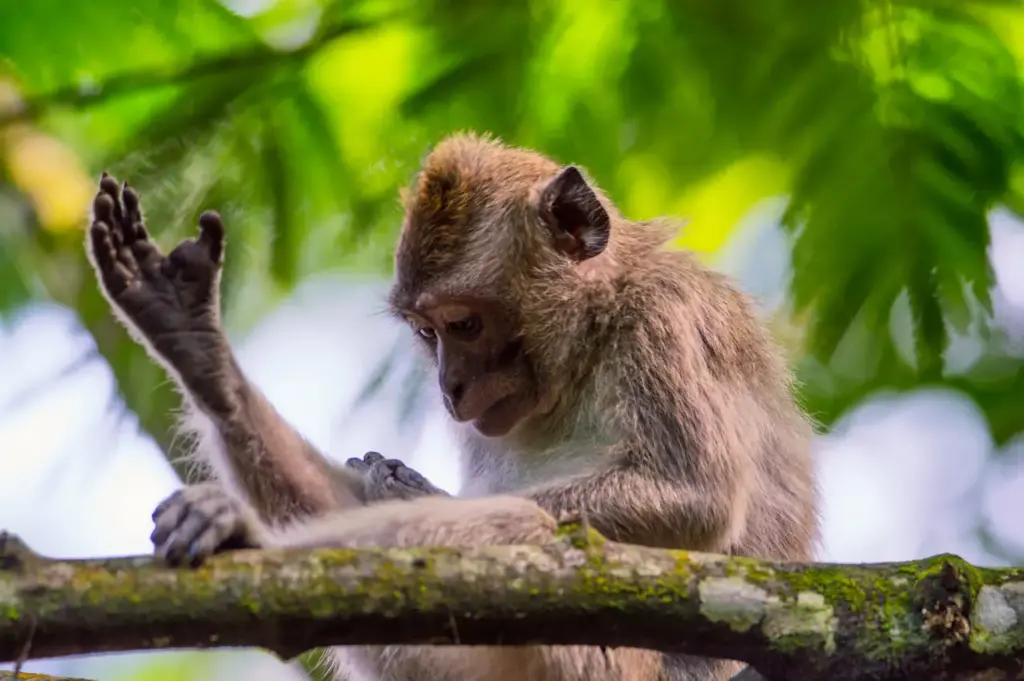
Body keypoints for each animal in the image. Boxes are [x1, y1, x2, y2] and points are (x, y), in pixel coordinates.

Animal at [88, 134, 819, 679]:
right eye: (425, 333)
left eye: (465, 325)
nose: (450, 387)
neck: (589, 339)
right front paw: (205, 363)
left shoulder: (663, 321)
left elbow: (696, 498)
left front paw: (408, 494)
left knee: (527, 529)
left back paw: (253, 538)